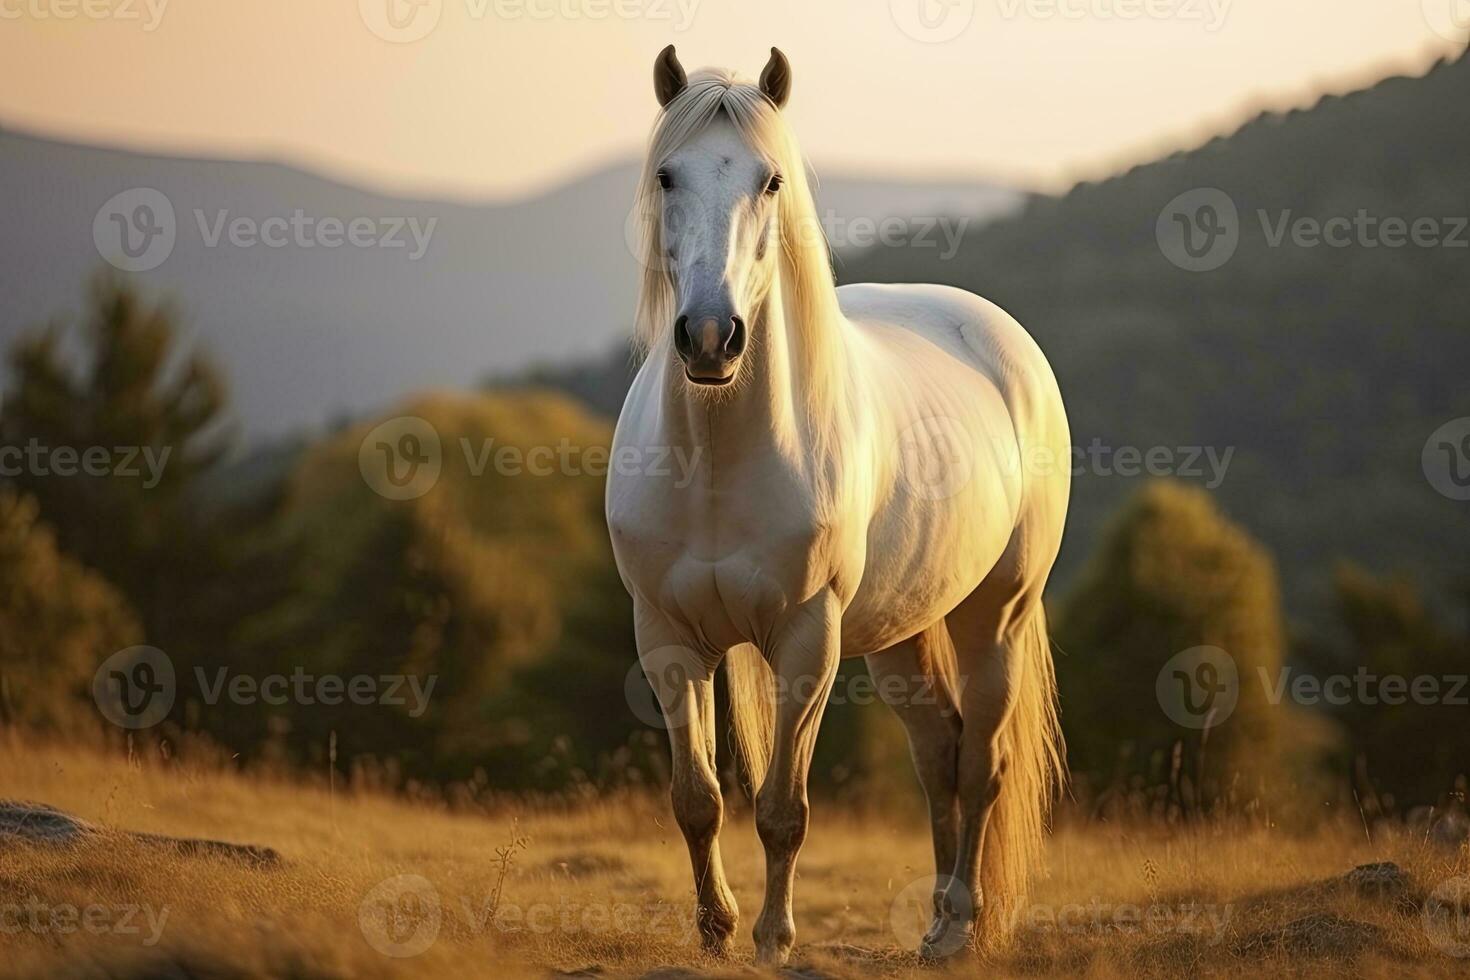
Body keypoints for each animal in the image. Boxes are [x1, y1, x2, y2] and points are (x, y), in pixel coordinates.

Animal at [602, 47, 1076, 963]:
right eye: (668, 175)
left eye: (772, 179)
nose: (710, 338)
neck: (719, 462)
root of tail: (1005, 342)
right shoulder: (667, 639)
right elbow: (697, 799)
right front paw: (714, 933)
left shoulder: (806, 642)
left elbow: (784, 811)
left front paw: (773, 939)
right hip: (901, 634)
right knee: (939, 753)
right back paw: (935, 925)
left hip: (994, 616)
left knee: (981, 765)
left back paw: (958, 929)